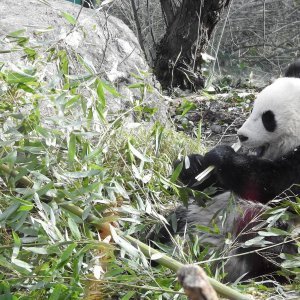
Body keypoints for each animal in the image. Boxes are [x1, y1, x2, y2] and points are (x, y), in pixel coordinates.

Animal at [166, 62, 300, 282]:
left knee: (273, 244)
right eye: (253, 108)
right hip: (192, 217)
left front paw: (223, 157)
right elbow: (215, 185)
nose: (241, 136)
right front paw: (193, 165)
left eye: (268, 118)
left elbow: (276, 185)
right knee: (171, 222)